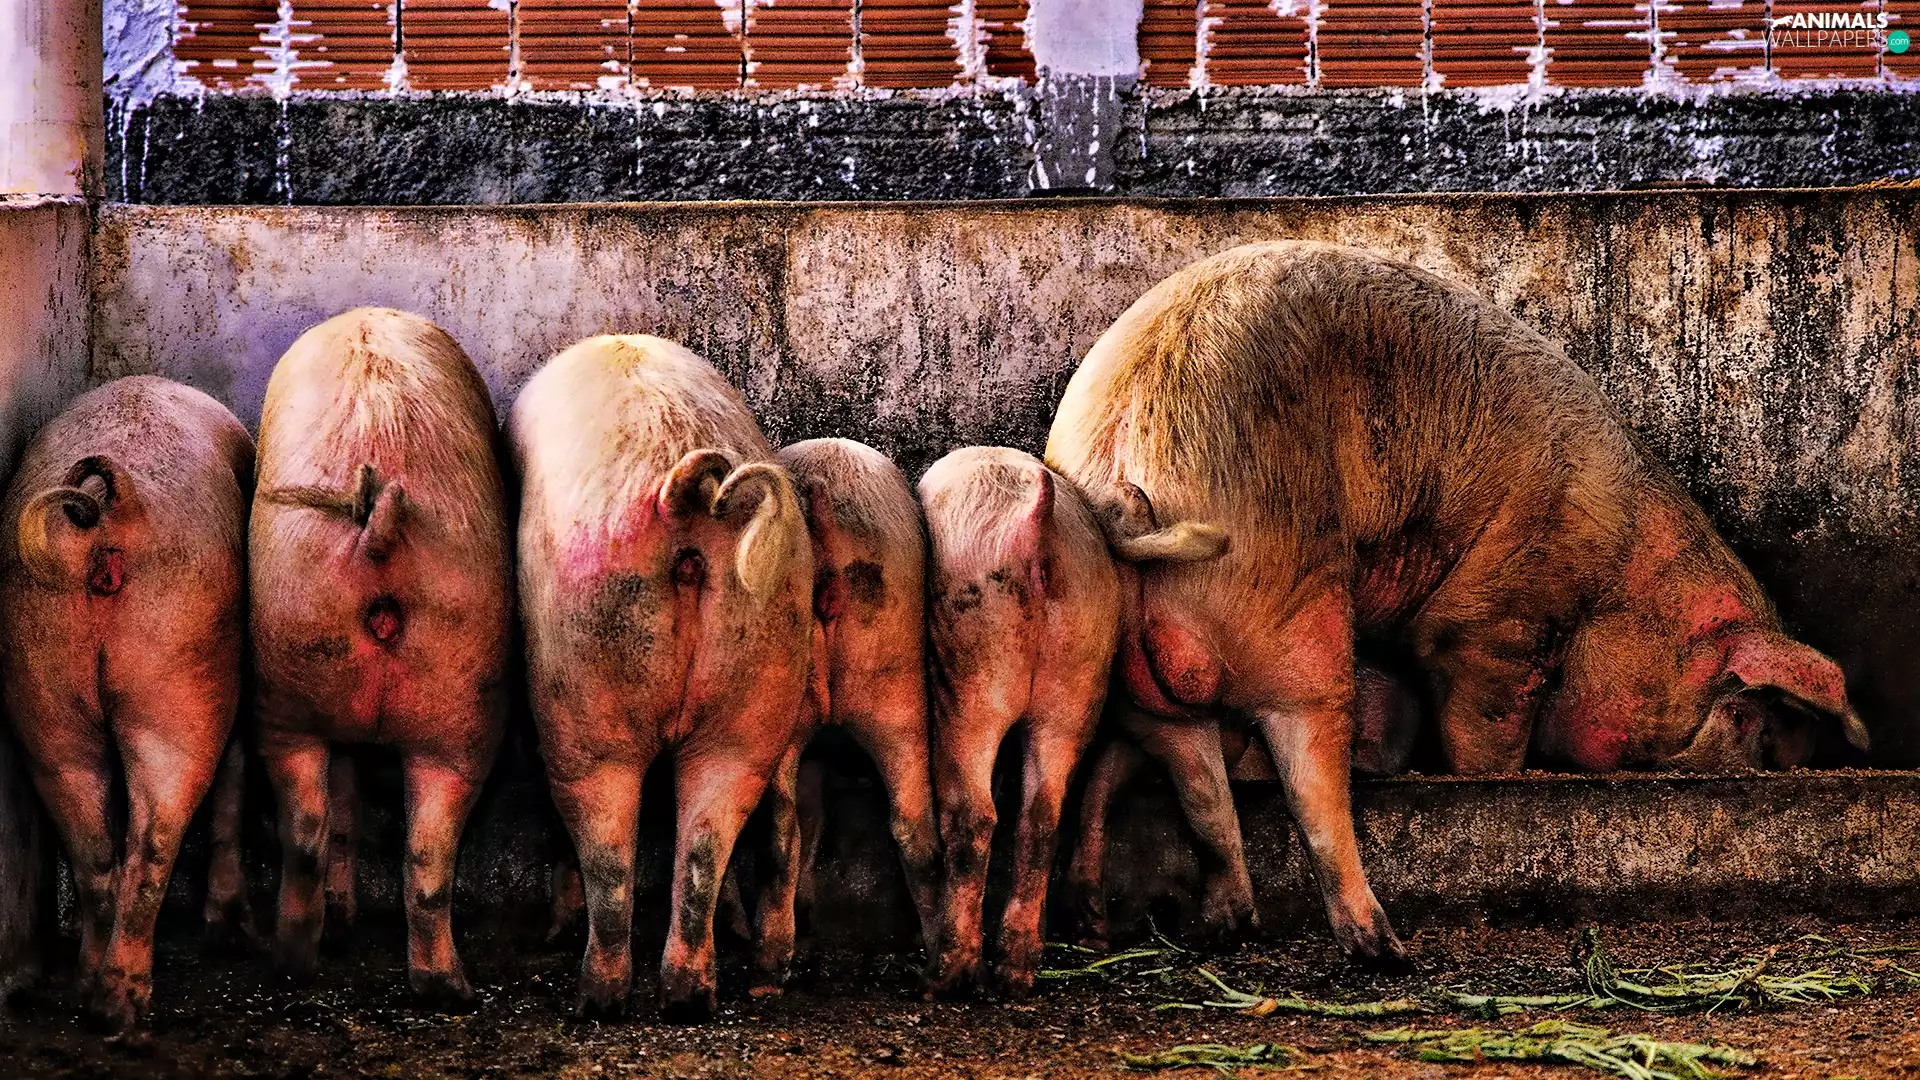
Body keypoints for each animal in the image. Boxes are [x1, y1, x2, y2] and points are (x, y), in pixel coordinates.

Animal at [0, 376, 253, 1030]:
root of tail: (114, 508)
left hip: (38, 674)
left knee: (90, 837)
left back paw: (93, 994)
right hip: (183, 662)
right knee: (159, 830)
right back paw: (126, 1007)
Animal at [250, 308, 511, 1005]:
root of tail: (378, 536)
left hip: (291, 675)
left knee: (314, 828)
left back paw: (304, 962)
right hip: (455, 686)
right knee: (412, 852)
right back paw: (443, 986)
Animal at [511, 334, 814, 1020]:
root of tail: (684, 495)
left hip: (583, 676)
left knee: (605, 843)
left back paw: (596, 999)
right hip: (757, 673)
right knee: (713, 835)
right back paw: (691, 996)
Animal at [1045, 240, 1867, 965]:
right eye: (1744, 714)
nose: (1767, 768)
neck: (1618, 577)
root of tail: (1125, 461)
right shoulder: (1500, 623)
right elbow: (1484, 729)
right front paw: (1497, 784)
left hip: (1153, 673)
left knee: (1186, 780)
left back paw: (1160, 922)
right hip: (1290, 609)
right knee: (1307, 772)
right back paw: (1384, 950)